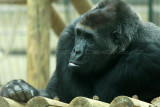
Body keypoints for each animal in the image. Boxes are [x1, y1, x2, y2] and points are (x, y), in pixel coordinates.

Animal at [0, 0, 160, 103]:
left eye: (90, 38)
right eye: (80, 34)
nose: (76, 51)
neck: (129, 44)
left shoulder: (145, 58)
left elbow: (89, 96)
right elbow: (54, 93)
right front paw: (15, 87)